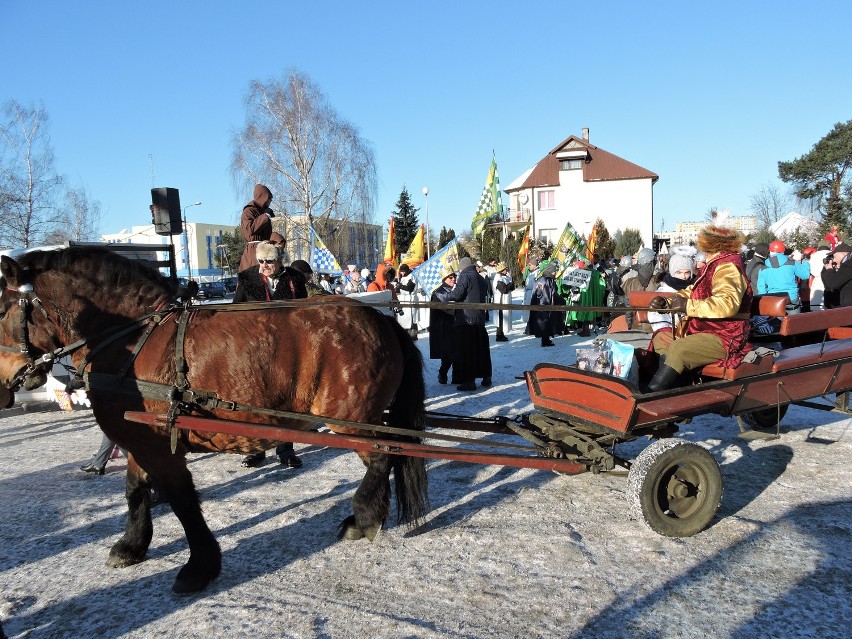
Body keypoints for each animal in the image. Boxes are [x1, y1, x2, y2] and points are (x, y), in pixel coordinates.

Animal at [0, 249, 430, 596]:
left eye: (2, 308)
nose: (7, 380)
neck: (133, 338)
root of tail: (381, 319)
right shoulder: (139, 439)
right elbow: (136, 491)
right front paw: (131, 546)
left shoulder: (161, 447)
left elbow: (183, 502)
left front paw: (199, 567)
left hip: (351, 420)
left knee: (382, 456)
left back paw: (364, 517)